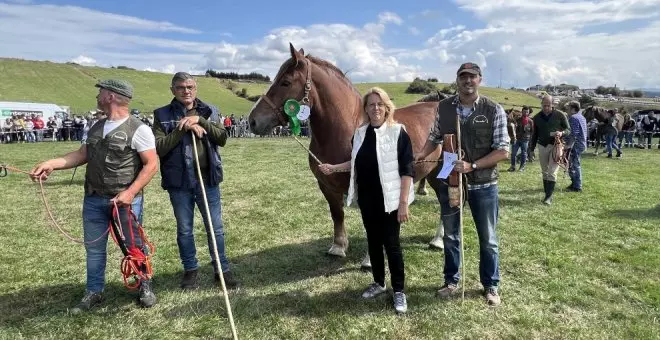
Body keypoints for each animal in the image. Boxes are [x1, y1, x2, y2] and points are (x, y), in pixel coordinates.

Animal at [248, 44, 444, 258]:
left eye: (285, 82)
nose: (253, 121)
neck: (346, 128)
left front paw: (369, 258)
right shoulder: (327, 185)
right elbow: (337, 214)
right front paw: (339, 246)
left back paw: (438, 240)